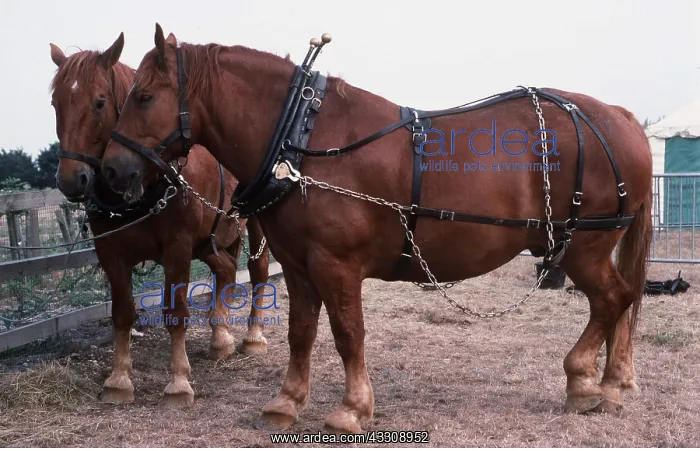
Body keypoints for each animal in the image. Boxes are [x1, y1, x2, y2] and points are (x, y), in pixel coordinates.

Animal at [49, 32, 272, 407]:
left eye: (99, 102)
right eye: (56, 102)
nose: (70, 179)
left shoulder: (177, 248)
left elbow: (177, 313)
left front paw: (179, 382)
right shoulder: (111, 253)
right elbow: (122, 313)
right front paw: (119, 379)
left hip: (250, 225)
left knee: (257, 272)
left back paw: (252, 336)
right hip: (209, 238)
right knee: (226, 270)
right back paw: (220, 337)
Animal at [101, 24, 653, 433]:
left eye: (143, 96)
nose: (109, 170)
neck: (303, 140)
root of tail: (621, 118)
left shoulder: (336, 264)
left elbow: (349, 334)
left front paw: (351, 409)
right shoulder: (298, 265)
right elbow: (301, 332)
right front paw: (287, 401)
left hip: (584, 246)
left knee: (612, 299)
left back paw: (585, 382)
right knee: (621, 300)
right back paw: (612, 380)